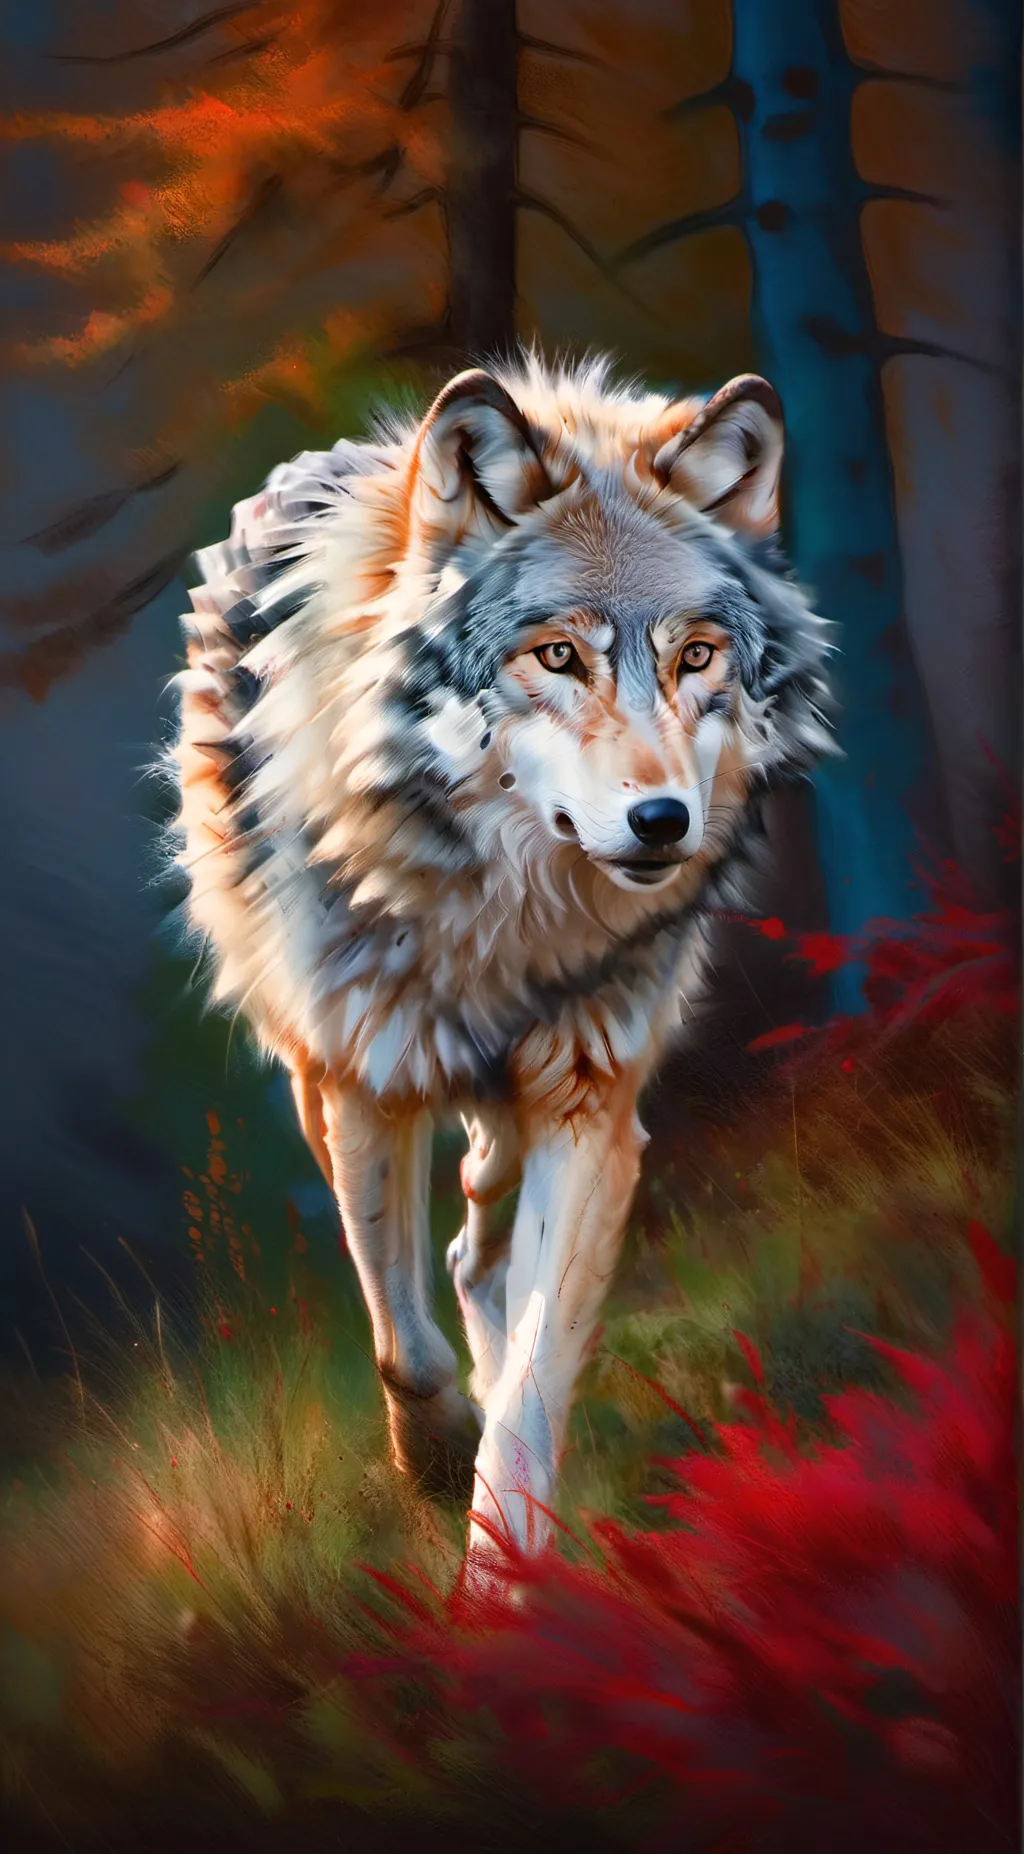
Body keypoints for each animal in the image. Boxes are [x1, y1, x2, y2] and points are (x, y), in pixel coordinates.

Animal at [170, 352, 834, 1575]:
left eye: (696, 656)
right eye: (558, 655)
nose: (662, 822)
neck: (502, 918)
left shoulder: (591, 1110)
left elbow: (532, 1382)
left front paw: (506, 1583)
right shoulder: (367, 1087)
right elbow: (402, 1345)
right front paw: (433, 1458)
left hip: (520, 1101)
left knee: (478, 1235)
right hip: (317, 1065)